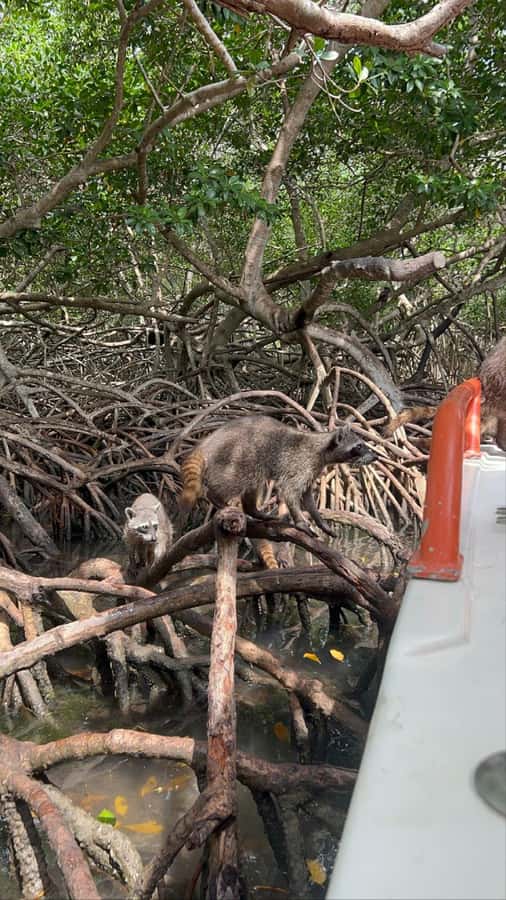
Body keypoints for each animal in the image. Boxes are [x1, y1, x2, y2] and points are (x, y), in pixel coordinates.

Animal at [179, 416, 377, 537]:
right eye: (359, 446)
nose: (375, 456)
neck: (322, 447)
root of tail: (207, 443)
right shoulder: (302, 463)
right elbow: (289, 491)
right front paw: (301, 522)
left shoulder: (312, 469)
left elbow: (307, 497)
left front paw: (320, 521)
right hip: (238, 455)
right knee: (236, 479)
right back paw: (217, 497)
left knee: (253, 485)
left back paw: (254, 511)